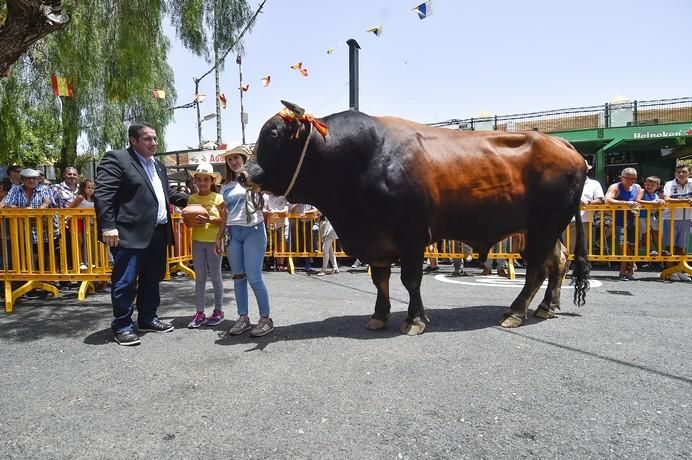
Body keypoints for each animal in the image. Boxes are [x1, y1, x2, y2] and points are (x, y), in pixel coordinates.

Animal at [239, 101, 588, 334]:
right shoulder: (377, 238)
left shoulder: (412, 235)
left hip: (544, 227)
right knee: (559, 261)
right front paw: (379, 316)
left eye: (273, 134)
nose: (243, 174)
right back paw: (546, 307)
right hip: (547, 228)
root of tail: (562, 143)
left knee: (537, 269)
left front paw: (415, 319)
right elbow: (380, 279)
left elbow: (410, 279)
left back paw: (516, 312)